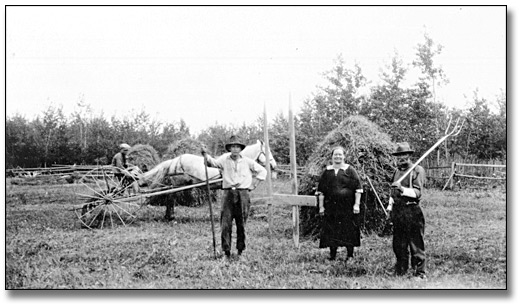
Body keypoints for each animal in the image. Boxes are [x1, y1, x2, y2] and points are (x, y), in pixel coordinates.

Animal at [137, 140, 276, 218]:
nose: (274, 166)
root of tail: (175, 160)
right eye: (267, 152)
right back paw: (170, 217)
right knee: (170, 198)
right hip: (177, 185)